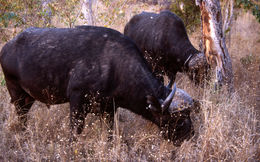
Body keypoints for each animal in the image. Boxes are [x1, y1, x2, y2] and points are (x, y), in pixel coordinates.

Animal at [0, 26, 198, 142]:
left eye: (189, 114)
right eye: (178, 119)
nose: (190, 135)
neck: (115, 65)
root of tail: (7, 47)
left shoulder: (109, 109)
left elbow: (109, 134)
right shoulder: (77, 100)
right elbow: (75, 132)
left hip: (28, 97)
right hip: (16, 94)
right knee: (21, 116)